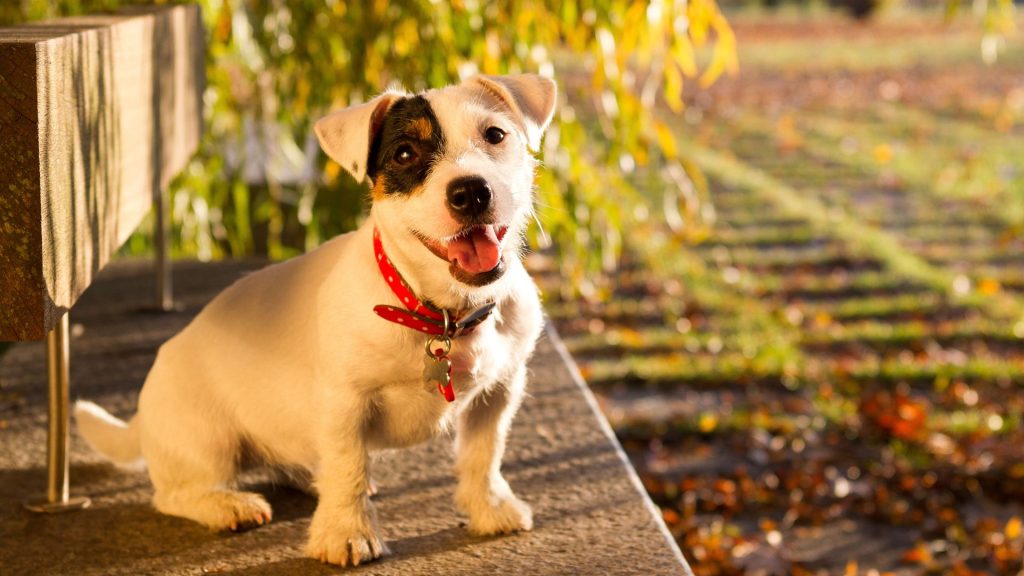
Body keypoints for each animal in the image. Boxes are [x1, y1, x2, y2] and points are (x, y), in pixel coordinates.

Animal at [74, 72, 557, 565]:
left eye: (495, 135)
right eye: (405, 153)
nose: (471, 191)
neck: (440, 312)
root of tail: (142, 413)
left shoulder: (498, 392)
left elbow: (484, 454)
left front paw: (490, 508)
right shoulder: (345, 403)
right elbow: (348, 466)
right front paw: (348, 532)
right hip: (208, 442)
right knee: (174, 494)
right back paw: (226, 505)